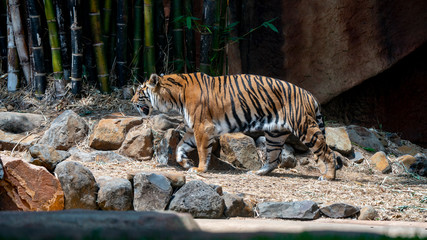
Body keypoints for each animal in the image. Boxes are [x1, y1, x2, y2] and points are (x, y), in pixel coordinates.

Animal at [132, 72, 342, 180]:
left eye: (140, 91)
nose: (132, 101)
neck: (173, 98)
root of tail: (309, 94)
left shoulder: (202, 127)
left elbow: (202, 150)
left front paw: (199, 169)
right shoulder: (193, 129)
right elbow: (179, 147)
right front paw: (185, 163)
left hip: (304, 127)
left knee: (327, 151)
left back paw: (328, 176)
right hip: (275, 134)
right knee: (273, 159)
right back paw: (258, 172)